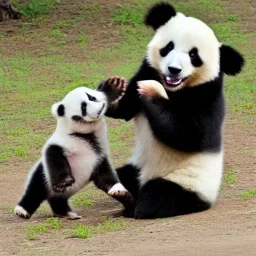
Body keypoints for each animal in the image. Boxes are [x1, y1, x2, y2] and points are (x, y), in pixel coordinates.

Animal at [14, 83, 133, 219]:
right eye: (83, 109)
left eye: (91, 97)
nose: (97, 111)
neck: (87, 135)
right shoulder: (64, 141)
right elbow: (53, 152)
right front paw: (65, 181)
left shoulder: (99, 156)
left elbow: (106, 178)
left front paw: (119, 191)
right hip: (44, 174)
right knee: (35, 189)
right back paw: (22, 211)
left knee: (56, 199)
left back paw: (66, 213)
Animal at [98, 1, 244, 218]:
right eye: (168, 47)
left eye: (194, 55)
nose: (174, 70)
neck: (173, 88)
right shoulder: (146, 70)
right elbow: (124, 109)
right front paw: (112, 89)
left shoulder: (207, 94)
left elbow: (188, 135)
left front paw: (151, 91)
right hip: (137, 165)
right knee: (119, 174)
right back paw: (117, 189)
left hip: (187, 182)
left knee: (160, 195)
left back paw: (136, 206)